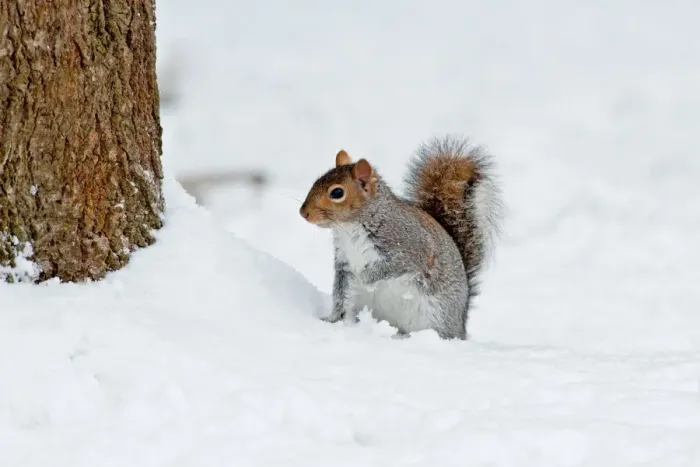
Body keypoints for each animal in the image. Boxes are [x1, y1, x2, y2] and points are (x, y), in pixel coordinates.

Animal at [299, 135, 503, 340]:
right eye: (316, 181)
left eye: (337, 193)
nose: (303, 213)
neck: (350, 229)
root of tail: (461, 325)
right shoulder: (343, 262)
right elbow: (340, 294)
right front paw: (331, 320)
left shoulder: (409, 247)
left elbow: (393, 266)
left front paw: (365, 276)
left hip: (437, 317)